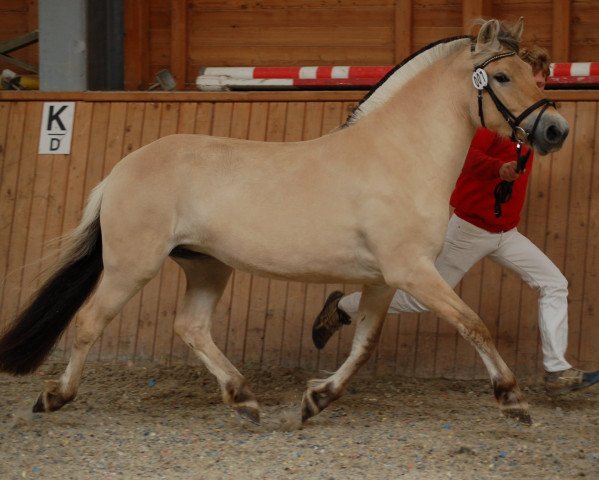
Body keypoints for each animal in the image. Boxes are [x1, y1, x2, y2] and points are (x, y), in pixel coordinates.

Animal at [0, 18, 568, 424]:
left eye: (533, 75)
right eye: (501, 76)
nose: (556, 130)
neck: (399, 155)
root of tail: (121, 169)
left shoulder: (384, 281)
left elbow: (363, 345)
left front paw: (317, 399)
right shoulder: (412, 273)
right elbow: (474, 324)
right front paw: (512, 399)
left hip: (206, 266)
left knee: (191, 326)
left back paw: (243, 398)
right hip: (131, 267)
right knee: (90, 321)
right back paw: (54, 397)